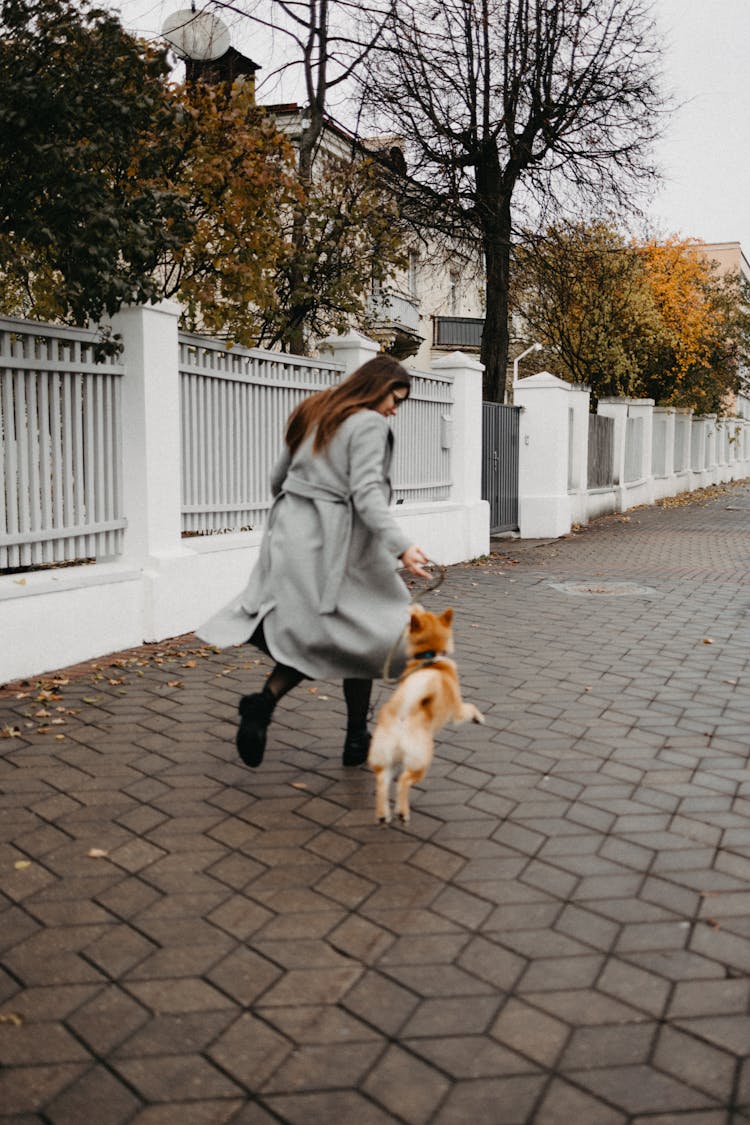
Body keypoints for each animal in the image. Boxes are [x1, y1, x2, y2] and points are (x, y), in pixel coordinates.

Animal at [366, 607, 483, 828]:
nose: (413, 607)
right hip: (421, 759)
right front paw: (479, 718)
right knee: (404, 781)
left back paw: (383, 814)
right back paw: (402, 812)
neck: (430, 659)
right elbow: (470, 707)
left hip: (386, 757)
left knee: (382, 782)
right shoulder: (457, 711)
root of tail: (403, 714)